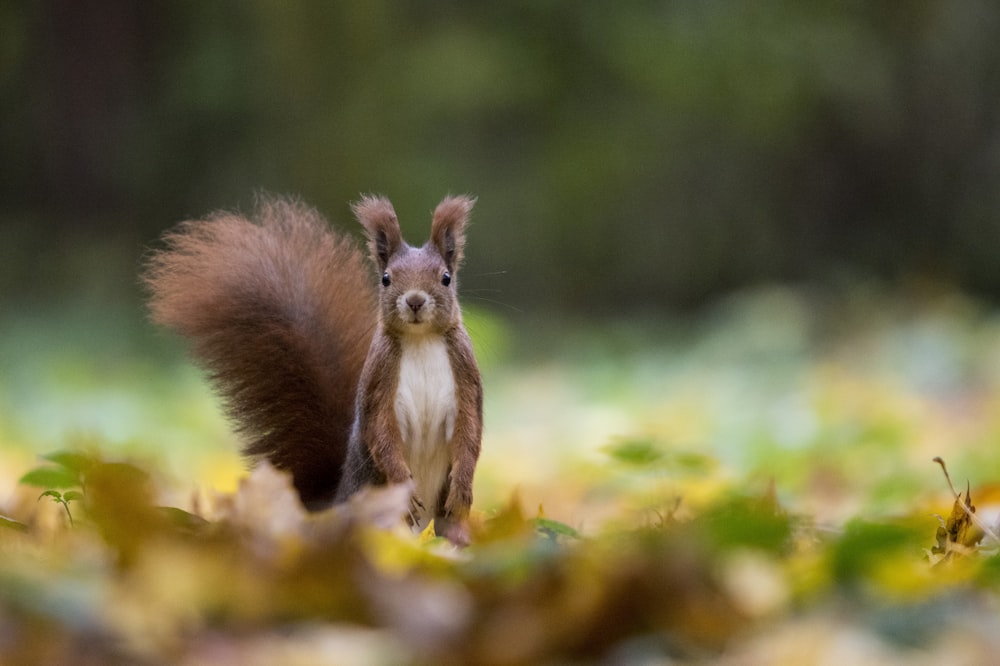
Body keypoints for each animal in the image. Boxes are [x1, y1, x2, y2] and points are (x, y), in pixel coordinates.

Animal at [143, 193, 482, 544]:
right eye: (386, 278)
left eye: (445, 278)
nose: (415, 301)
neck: (421, 339)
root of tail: (330, 506)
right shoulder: (379, 377)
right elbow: (381, 430)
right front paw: (403, 482)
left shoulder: (466, 373)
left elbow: (470, 431)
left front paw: (463, 485)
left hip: (442, 517)